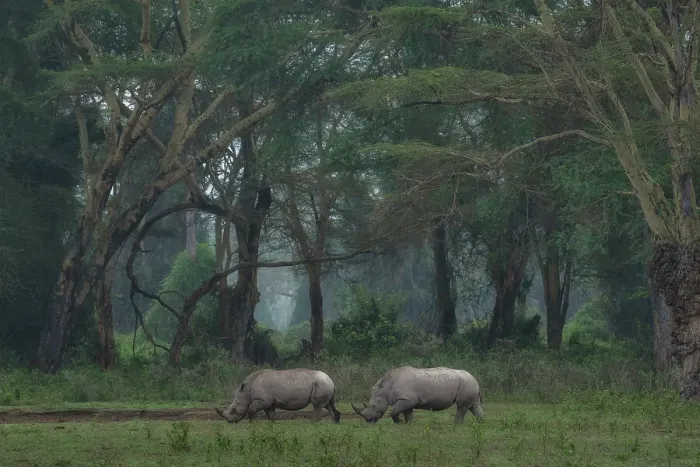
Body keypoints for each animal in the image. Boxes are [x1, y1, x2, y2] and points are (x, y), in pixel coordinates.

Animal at [351, 366, 484, 424]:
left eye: (373, 406)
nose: (368, 421)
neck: (386, 387)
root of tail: (475, 379)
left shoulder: (407, 399)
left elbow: (395, 411)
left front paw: (398, 422)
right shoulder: (407, 400)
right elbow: (407, 413)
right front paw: (408, 424)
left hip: (466, 383)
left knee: (462, 406)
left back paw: (456, 425)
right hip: (469, 384)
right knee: (474, 406)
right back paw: (481, 423)